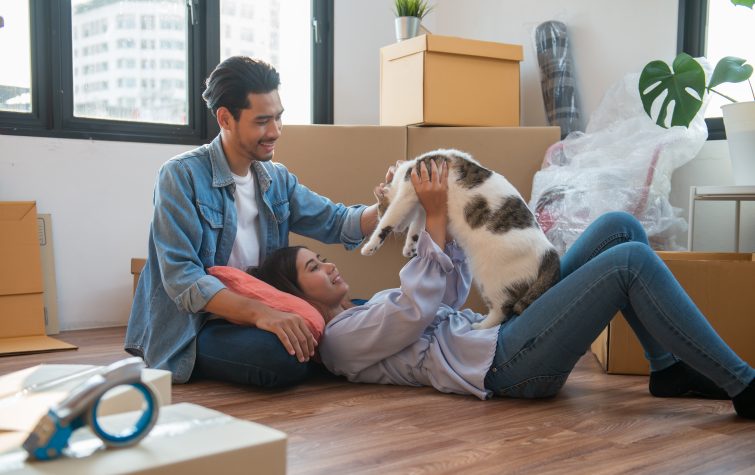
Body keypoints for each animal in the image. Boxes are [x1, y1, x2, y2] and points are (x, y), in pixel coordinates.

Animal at [360, 149, 560, 330]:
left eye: (380, 211)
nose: (399, 230)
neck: (410, 169)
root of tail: (550, 252)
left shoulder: (406, 196)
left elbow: (388, 223)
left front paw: (370, 246)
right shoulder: (422, 207)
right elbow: (417, 227)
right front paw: (410, 246)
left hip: (491, 279)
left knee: (502, 309)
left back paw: (479, 326)